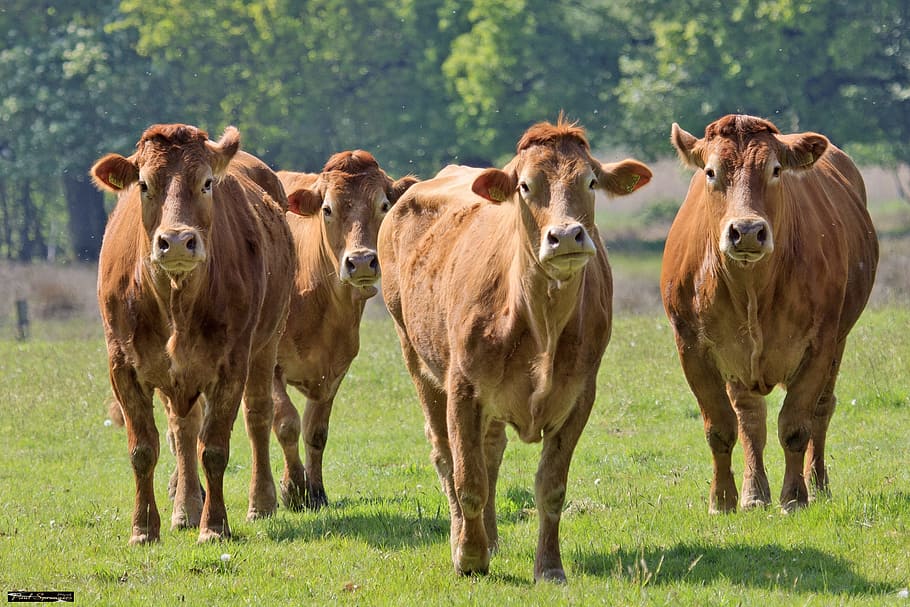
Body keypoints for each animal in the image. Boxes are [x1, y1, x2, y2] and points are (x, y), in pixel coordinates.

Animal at [91, 124, 296, 544]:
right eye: (143, 184)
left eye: (206, 183)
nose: (176, 242)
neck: (175, 299)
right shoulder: (122, 366)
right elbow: (143, 450)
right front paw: (143, 528)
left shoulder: (231, 365)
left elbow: (214, 449)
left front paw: (214, 526)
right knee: (182, 430)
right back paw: (184, 510)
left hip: (266, 343)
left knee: (258, 415)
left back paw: (261, 502)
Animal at [270, 150, 417, 510]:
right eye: (327, 208)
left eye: (383, 205)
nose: (361, 261)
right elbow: (286, 422)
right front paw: (293, 488)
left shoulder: (335, 369)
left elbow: (316, 431)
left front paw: (316, 491)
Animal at [378, 118, 652, 582]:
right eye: (525, 185)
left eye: (591, 181)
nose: (566, 236)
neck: (540, 321)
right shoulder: (463, 389)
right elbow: (468, 481)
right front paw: (469, 557)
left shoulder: (579, 395)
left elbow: (550, 486)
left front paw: (550, 566)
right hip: (415, 356)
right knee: (446, 457)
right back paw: (466, 537)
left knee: (491, 452)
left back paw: (491, 536)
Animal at [661, 114, 878, 514]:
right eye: (711, 172)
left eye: (775, 170)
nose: (747, 231)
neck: (751, 289)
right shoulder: (691, 348)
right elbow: (721, 427)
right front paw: (722, 500)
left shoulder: (819, 346)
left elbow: (795, 425)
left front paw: (794, 497)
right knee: (750, 419)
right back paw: (754, 493)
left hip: (838, 343)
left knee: (821, 411)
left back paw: (817, 485)